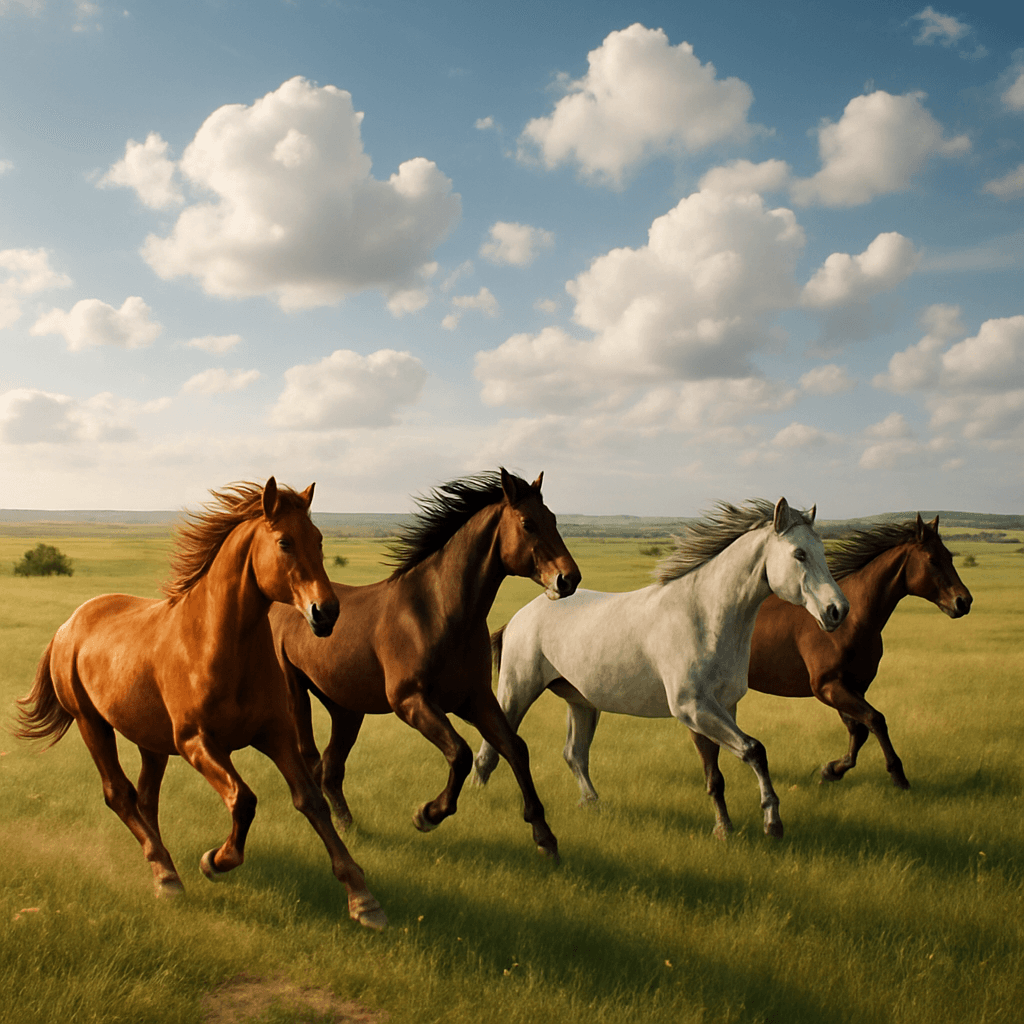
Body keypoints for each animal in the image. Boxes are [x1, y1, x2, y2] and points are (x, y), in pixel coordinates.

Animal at [15, 478, 388, 931]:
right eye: (284, 542)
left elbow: (311, 801)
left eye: (318, 540)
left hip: (151, 742)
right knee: (119, 795)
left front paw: (363, 898)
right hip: (92, 725)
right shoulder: (197, 743)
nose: (327, 613)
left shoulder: (275, 735)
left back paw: (162, 863)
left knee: (145, 800)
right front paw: (215, 861)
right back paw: (166, 875)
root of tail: (69, 624)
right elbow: (243, 799)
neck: (216, 643)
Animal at [269, 469, 581, 860]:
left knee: (331, 767)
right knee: (310, 761)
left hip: (346, 710)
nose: (569, 579)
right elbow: (460, 753)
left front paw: (545, 837)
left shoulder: (475, 700)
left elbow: (514, 748)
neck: (437, 612)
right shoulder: (411, 701)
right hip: (296, 696)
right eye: (528, 523)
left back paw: (347, 825)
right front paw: (428, 814)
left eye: (553, 519)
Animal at [472, 497, 849, 840]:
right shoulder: (692, 708)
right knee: (491, 751)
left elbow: (719, 771)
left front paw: (725, 828)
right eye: (799, 554)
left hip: (581, 702)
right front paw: (770, 823)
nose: (838, 610)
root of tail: (519, 617)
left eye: (822, 550)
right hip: (516, 693)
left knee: (574, 754)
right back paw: (479, 801)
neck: (704, 615)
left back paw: (593, 804)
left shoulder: (721, 708)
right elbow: (752, 751)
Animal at [686, 515, 972, 819]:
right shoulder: (828, 687)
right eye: (932, 560)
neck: (852, 619)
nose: (963, 601)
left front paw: (831, 770)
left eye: (949, 556)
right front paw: (898, 776)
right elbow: (875, 720)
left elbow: (858, 730)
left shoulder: (852, 687)